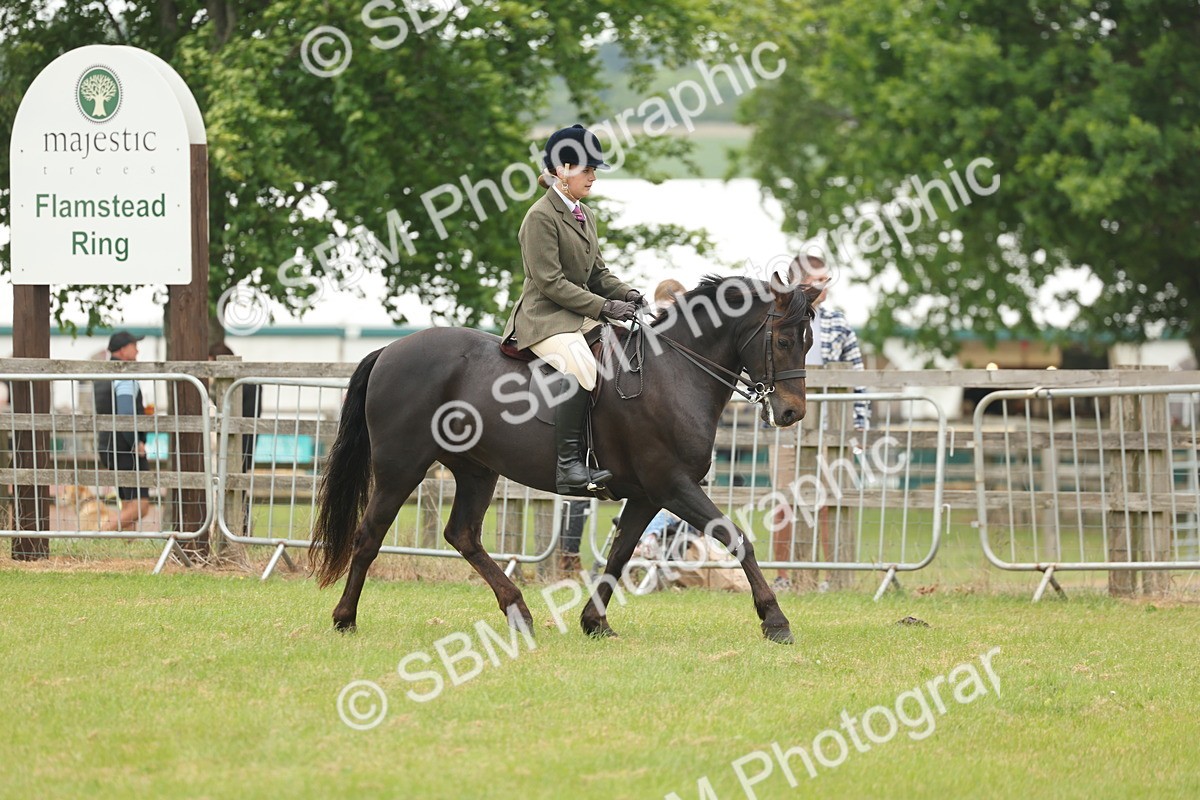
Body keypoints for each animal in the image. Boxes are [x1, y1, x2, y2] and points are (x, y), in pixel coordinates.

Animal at [311, 274, 821, 644]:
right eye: (782, 341)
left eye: (810, 341)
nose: (792, 413)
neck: (675, 373)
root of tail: (389, 350)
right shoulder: (673, 485)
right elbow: (736, 538)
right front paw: (775, 621)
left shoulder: (647, 495)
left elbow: (619, 554)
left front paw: (595, 623)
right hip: (401, 467)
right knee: (370, 535)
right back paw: (344, 618)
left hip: (477, 470)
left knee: (463, 535)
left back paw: (519, 613)